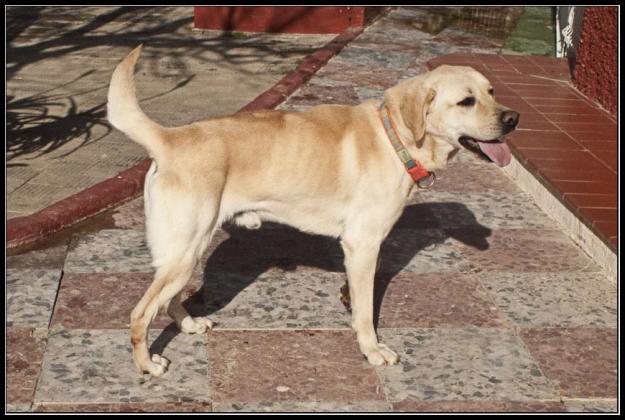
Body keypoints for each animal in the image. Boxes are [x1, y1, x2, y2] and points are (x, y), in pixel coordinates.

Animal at [106, 45, 516, 378]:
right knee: (140, 313)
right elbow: (366, 311)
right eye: (466, 101)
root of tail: (171, 138)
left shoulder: (360, 253)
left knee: (168, 299)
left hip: (184, 252)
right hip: (186, 250)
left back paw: (188, 325)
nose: (513, 119)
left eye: (491, 92)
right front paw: (371, 350)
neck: (395, 137)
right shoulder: (363, 245)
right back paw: (147, 365)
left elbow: (357, 299)